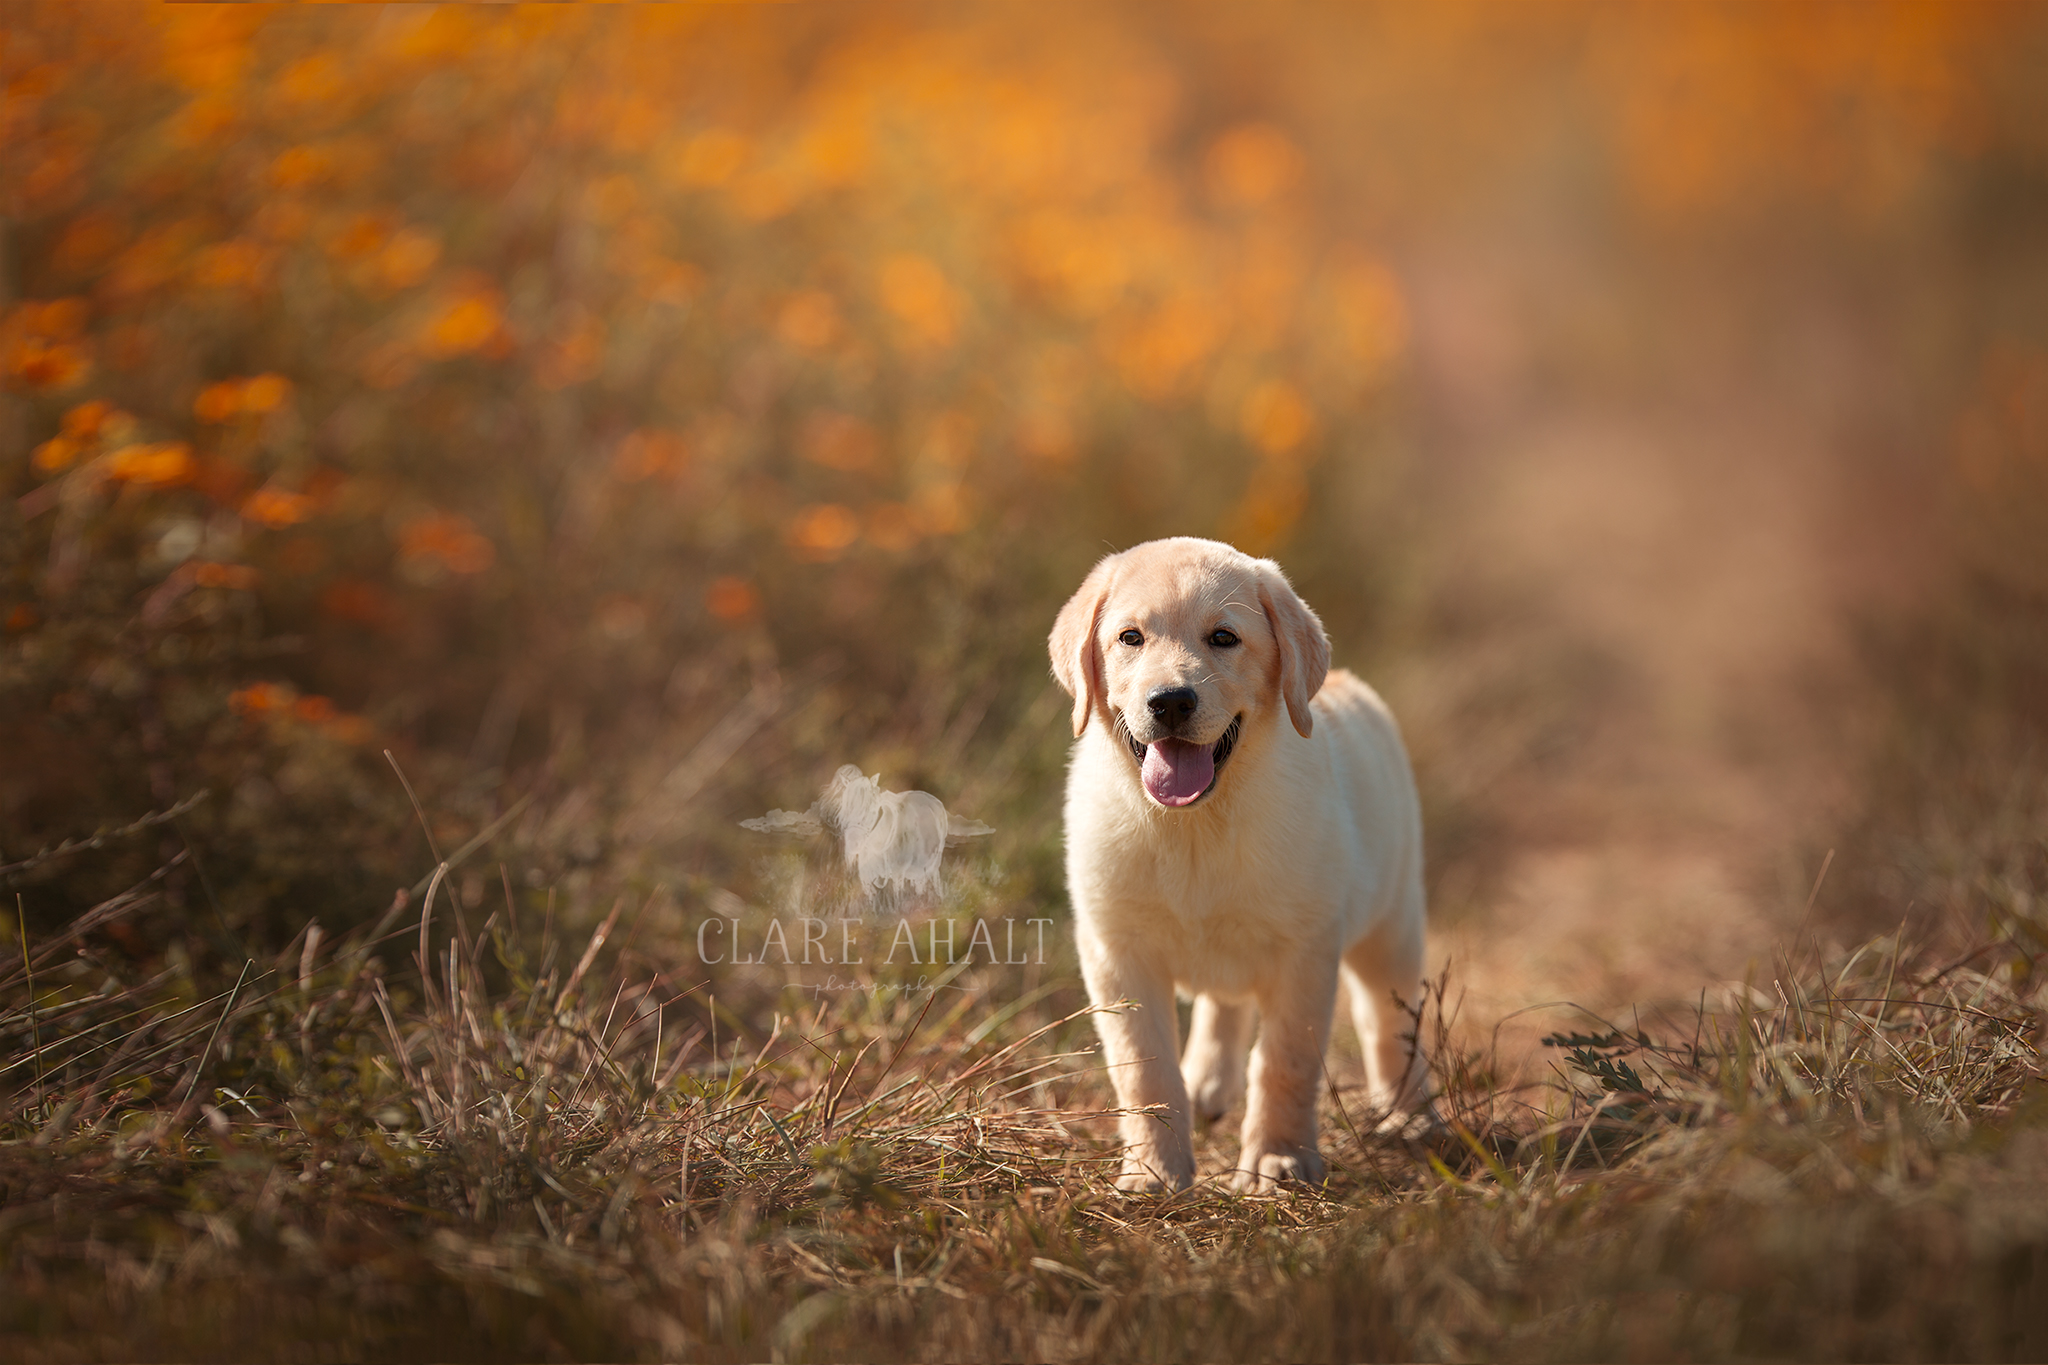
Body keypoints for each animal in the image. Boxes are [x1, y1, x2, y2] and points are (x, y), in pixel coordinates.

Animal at [1056, 540, 1425, 1186]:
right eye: (1130, 638)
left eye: (1224, 638)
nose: (1171, 702)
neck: (1192, 827)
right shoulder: (1116, 951)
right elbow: (1143, 1069)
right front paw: (1155, 1170)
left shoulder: (1305, 951)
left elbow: (1284, 1062)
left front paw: (1278, 1160)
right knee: (1223, 1005)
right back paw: (1207, 1082)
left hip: (1392, 926)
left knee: (1390, 1021)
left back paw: (1410, 1113)